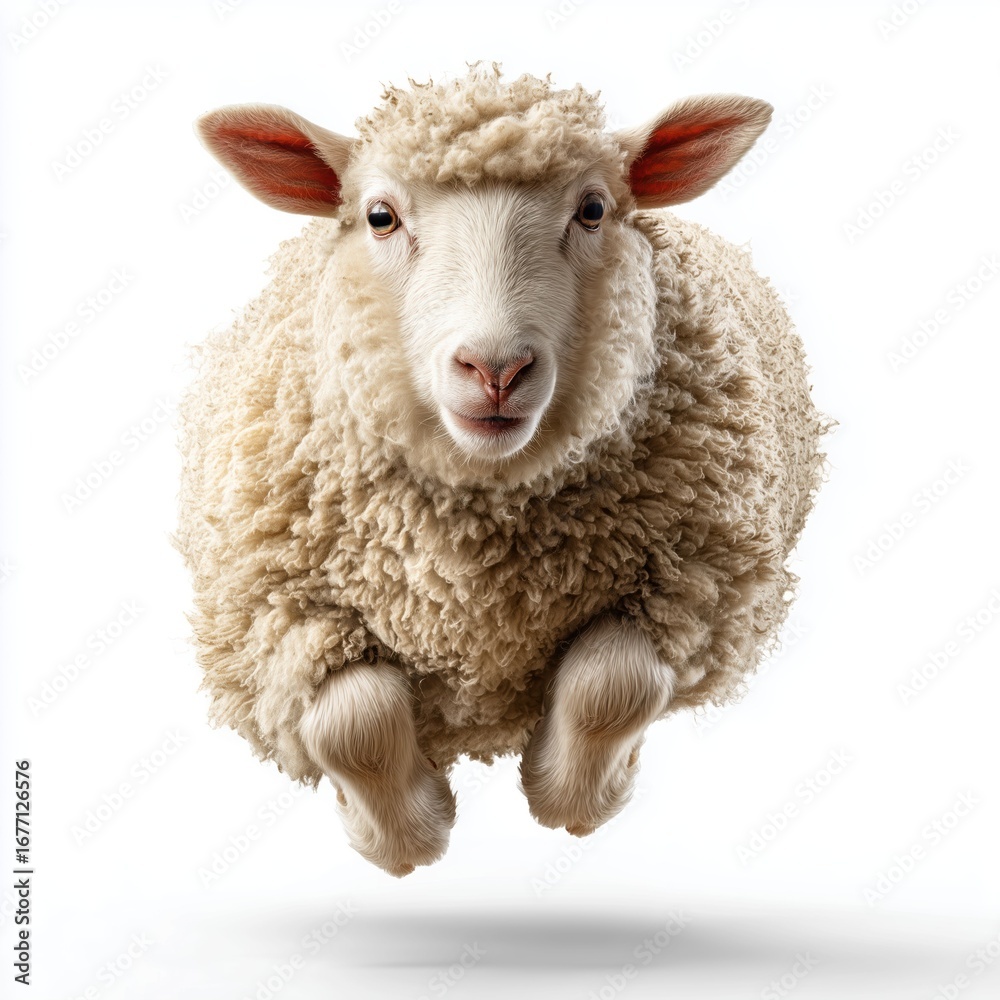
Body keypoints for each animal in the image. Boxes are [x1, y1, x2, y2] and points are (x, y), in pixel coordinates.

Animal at [176, 64, 827, 877]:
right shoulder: (273, 609)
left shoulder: (695, 579)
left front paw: (570, 793)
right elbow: (355, 721)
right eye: (380, 216)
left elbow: (613, 684)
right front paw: (406, 835)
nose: (495, 369)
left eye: (593, 209)